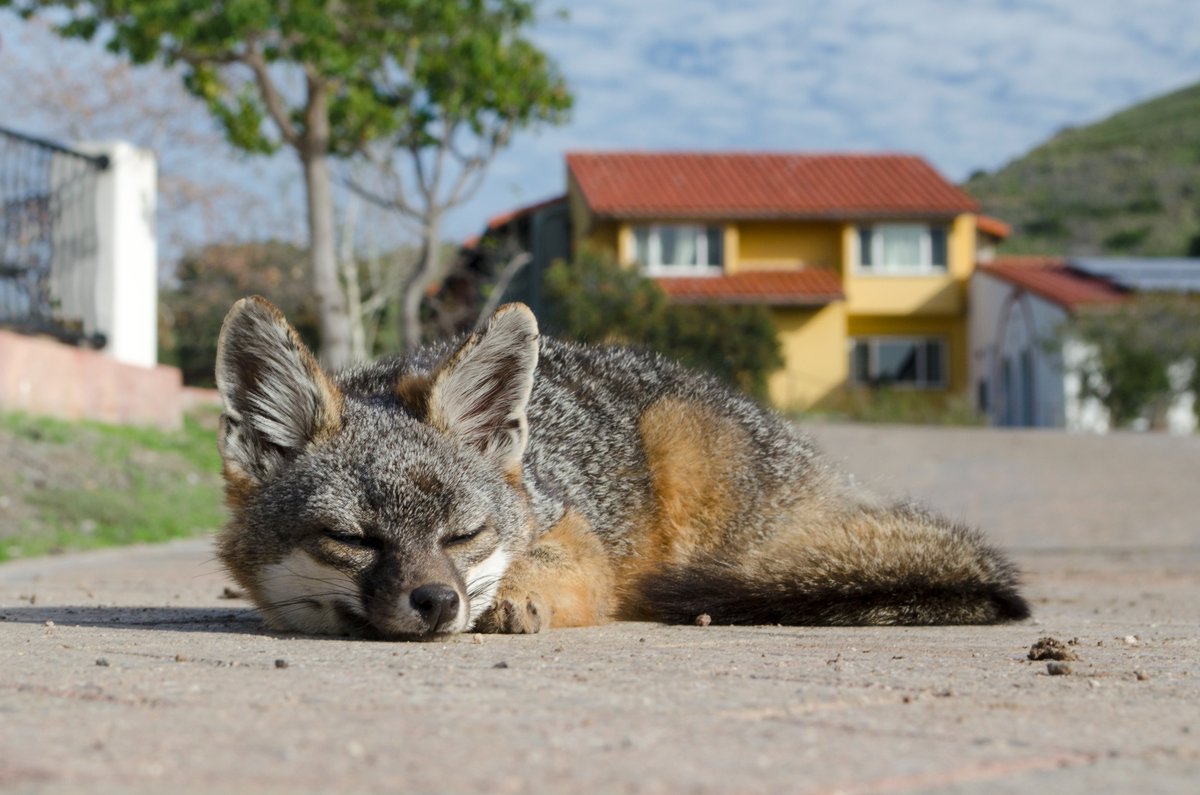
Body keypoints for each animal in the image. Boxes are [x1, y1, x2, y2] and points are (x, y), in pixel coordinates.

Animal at [216, 297, 1032, 643]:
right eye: (354, 539)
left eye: (463, 535)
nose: (439, 602)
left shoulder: (575, 531)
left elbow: (556, 569)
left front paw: (512, 597)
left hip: (680, 445)